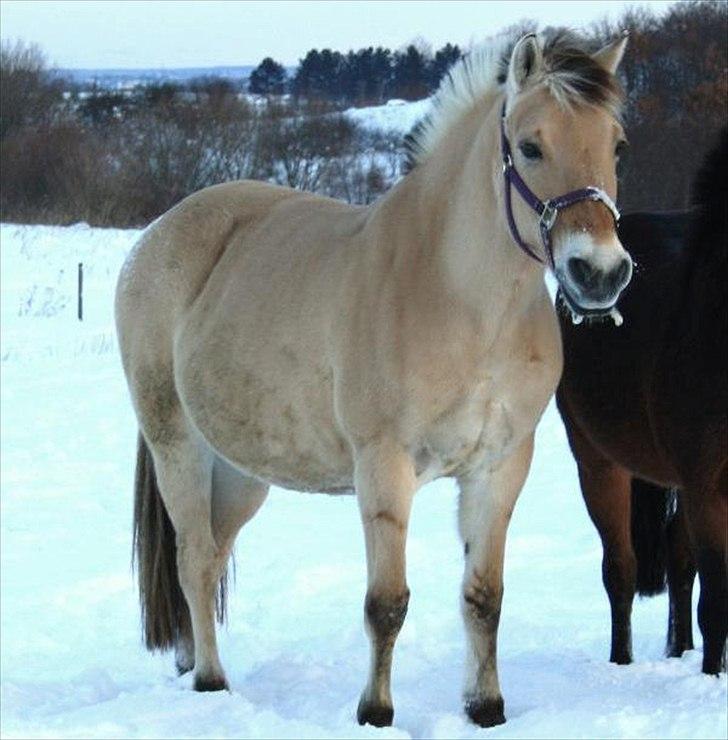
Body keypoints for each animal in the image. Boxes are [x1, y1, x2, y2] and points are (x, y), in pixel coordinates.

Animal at [115, 30, 632, 728]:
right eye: (531, 145)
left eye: (616, 145)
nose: (599, 273)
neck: (459, 297)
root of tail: (157, 235)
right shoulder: (385, 469)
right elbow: (386, 604)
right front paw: (375, 712)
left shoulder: (499, 469)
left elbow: (484, 596)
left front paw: (486, 707)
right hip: (178, 445)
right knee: (194, 558)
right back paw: (211, 681)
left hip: (242, 470)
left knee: (210, 555)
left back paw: (191, 659)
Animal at [556, 130, 724, 672]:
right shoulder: (708, 488)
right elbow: (718, 601)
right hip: (599, 462)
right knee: (621, 568)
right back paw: (622, 661)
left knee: (678, 559)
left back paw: (679, 650)